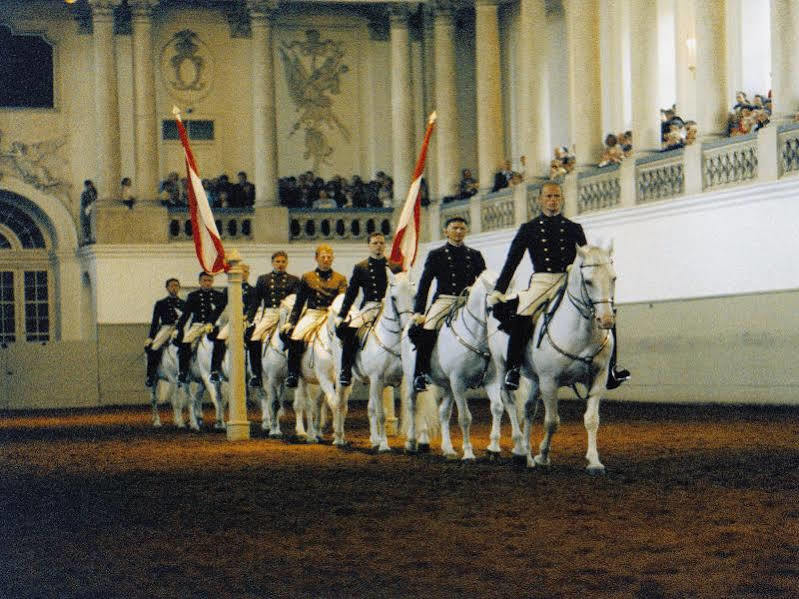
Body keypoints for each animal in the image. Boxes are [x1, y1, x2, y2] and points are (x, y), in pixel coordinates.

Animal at [332, 270, 416, 450]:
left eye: (414, 295)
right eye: (394, 298)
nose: (406, 326)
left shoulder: (404, 379)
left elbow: (411, 407)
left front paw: (411, 443)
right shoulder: (378, 379)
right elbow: (381, 413)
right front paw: (384, 445)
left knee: (369, 407)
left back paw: (374, 439)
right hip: (344, 378)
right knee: (340, 404)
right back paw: (339, 438)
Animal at [400, 274, 524, 464]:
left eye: (513, 306)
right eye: (491, 308)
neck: (478, 338)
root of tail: (409, 326)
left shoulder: (491, 382)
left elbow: (497, 407)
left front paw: (494, 449)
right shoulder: (458, 383)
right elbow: (465, 418)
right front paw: (468, 454)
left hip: (447, 386)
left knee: (443, 413)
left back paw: (448, 450)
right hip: (412, 379)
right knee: (412, 405)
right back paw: (411, 443)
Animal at [488, 243, 620, 474]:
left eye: (613, 278)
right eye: (588, 281)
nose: (605, 320)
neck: (580, 331)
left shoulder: (599, 377)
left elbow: (592, 419)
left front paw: (594, 462)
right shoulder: (550, 381)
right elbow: (552, 422)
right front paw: (543, 457)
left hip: (534, 378)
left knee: (528, 409)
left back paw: (526, 453)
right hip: (503, 367)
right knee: (509, 402)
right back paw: (521, 450)